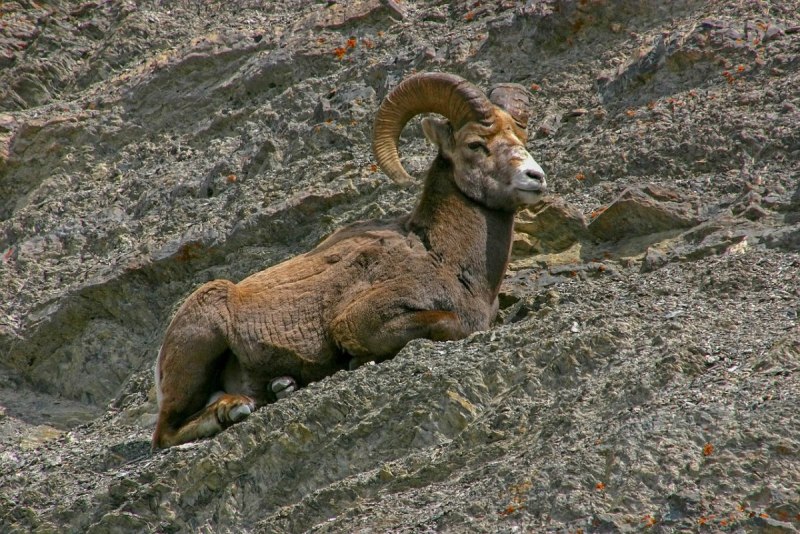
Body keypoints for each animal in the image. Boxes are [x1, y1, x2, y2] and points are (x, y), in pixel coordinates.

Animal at [152, 72, 546, 449]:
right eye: (475, 144)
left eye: (522, 140)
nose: (535, 177)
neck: (443, 256)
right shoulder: (358, 320)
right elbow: (449, 323)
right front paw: (355, 360)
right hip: (200, 346)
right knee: (165, 433)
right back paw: (233, 409)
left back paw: (280, 386)